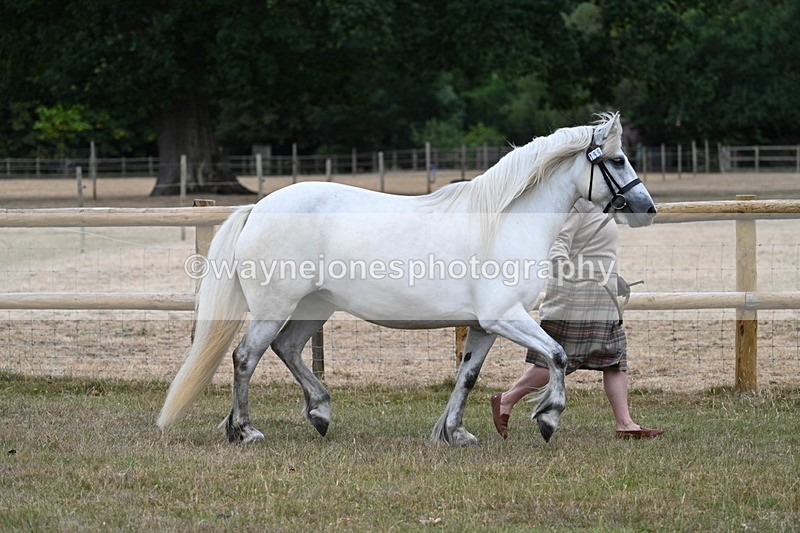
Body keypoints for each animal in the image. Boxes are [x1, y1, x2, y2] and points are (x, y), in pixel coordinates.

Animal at [156, 112, 656, 446]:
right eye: (618, 160)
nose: (647, 208)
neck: (503, 221)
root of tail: (258, 207)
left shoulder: (483, 326)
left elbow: (468, 376)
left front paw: (455, 433)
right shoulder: (504, 317)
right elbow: (557, 355)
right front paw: (548, 419)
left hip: (314, 307)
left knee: (288, 349)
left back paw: (319, 413)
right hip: (274, 308)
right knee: (246, 357)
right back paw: (245, 431)